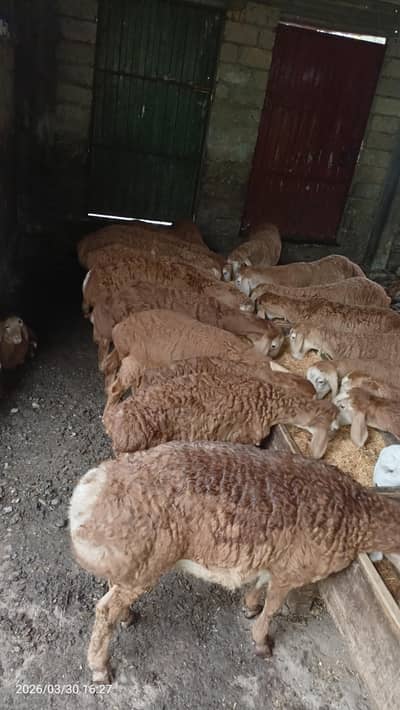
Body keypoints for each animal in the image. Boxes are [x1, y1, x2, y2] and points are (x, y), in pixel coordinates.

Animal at [69, 441, 400, 683]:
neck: (358, 516)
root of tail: (88, 496)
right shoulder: (293, 570)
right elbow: (273, 607)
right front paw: (262, 643)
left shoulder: (273, 559)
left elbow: (259, 585)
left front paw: (250, 607)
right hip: (148, 564)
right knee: (105, 609)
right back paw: (100, 667)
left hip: (133, 560)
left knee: (115, 588)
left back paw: (127, 617)